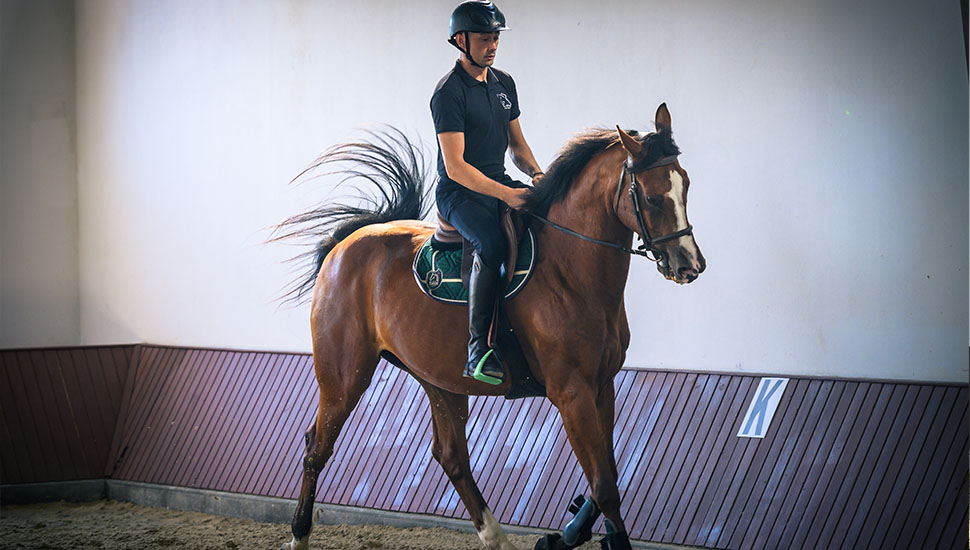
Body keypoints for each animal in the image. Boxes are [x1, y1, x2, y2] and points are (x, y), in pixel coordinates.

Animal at [276, 104, 700, 550]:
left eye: (685, 186)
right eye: (652, 198)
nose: (690, 264)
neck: (570, 270)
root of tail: (344, 244)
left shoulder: (603, 385)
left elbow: (609, 476)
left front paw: (566, 534)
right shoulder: (573, 393)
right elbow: (604, 486)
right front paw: (589, 537)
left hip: (438, 379)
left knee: (451, 456)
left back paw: (496, 536)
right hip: (344, 377)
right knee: (317, 448)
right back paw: (299, 536)